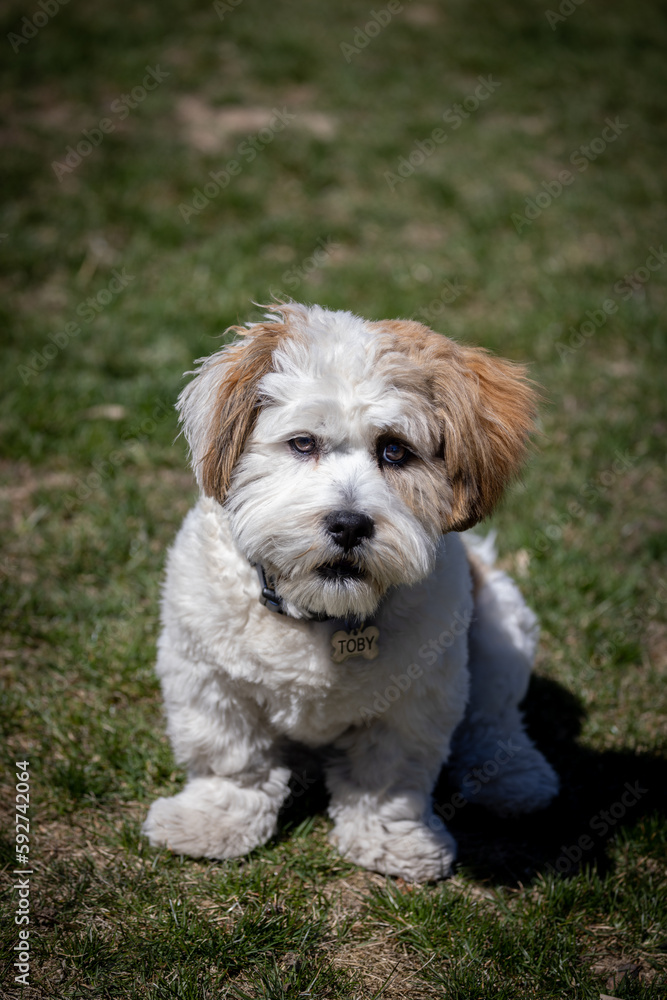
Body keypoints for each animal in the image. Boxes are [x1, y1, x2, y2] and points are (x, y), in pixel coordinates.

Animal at [144, 300, 560, 880]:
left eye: (395, 451)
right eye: (302, 443)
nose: (348, 524)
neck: (317, 613)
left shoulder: (417, 697)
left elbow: (388, 776)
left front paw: (390, 842)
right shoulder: (207, 676)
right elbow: (232, 757)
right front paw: (214, 821)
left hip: (503, 630)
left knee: (494, 718)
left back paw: (511, 775)